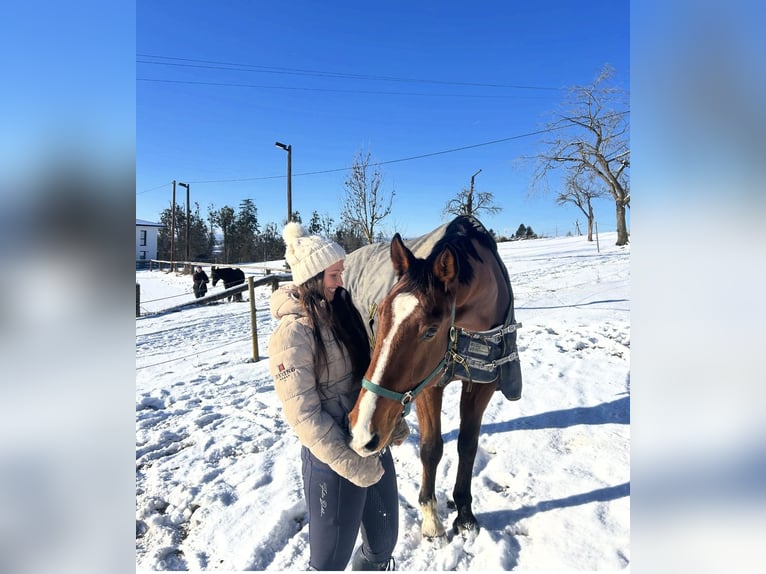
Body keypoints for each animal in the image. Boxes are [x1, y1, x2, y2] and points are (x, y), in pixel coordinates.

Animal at [345, 215, 522, 540]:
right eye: (382, 314)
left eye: (430, 330)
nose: (361, 432)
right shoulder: (429, 386)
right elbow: (431, 448)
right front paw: (431, 518)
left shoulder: (483, 383)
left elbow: (467, 444)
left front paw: (464, 514)